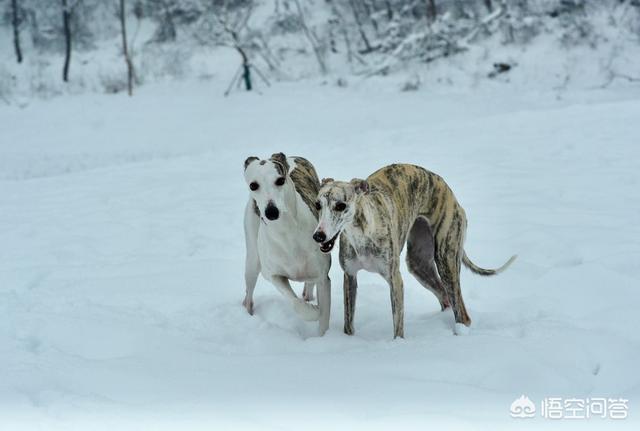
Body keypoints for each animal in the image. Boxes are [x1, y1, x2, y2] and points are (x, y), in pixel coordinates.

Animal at [240, 154, 330, 336]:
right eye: (253, 185)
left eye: (280, 180)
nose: (271, 212)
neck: (287, 232)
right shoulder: (273, 275)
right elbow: (295, 302)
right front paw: (313, 311)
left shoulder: (323, 278)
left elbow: (323, 320)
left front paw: (324, 339)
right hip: (252, 260)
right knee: (248, 294)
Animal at [312, 164, 516, 340]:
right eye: (317, 205)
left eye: (340, 205)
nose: (318, 236)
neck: (362, 231)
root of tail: (452, 195)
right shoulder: (350, 275)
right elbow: (348, 322)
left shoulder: (394, 278)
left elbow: (398, 324)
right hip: (419, 263)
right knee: (444, 297)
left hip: (446, 259)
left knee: (461, 312)